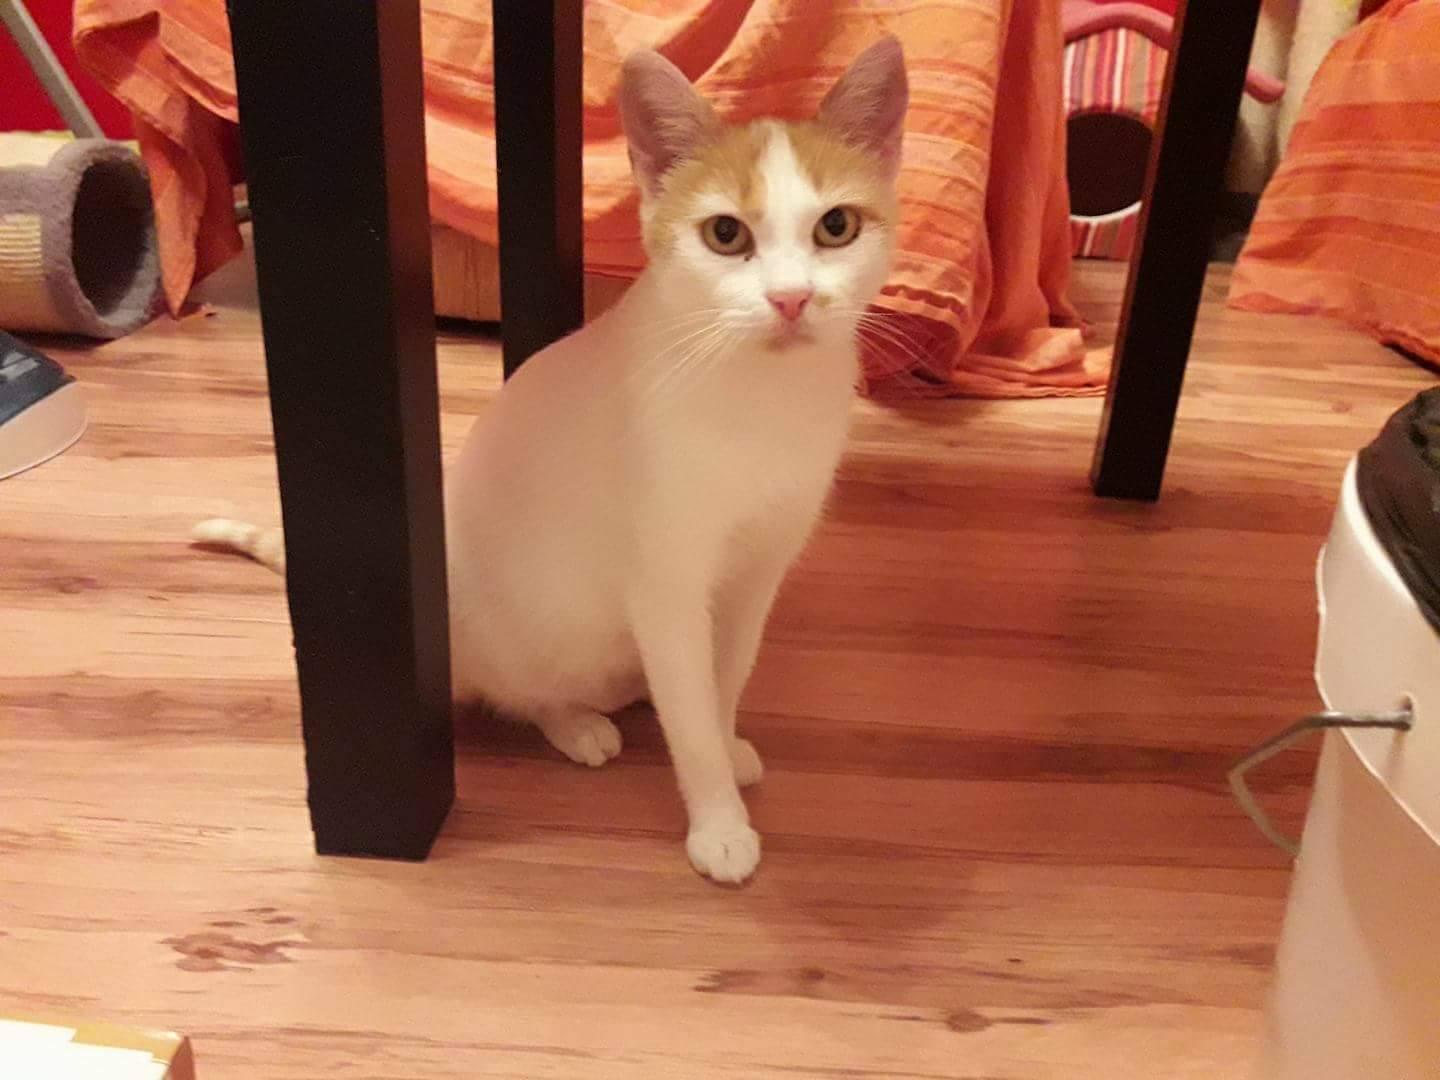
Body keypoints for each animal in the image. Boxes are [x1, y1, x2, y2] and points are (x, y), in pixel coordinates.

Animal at [194, 37, 908, 884]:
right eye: (727, 235)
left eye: (836, 226)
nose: (792, 299)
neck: (760, 398)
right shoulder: (665, 582)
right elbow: (689, 716)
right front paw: (718, 821)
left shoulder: (759, 567)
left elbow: (727, 674)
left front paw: (726, 740)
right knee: (522, 684)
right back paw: (576, 723)